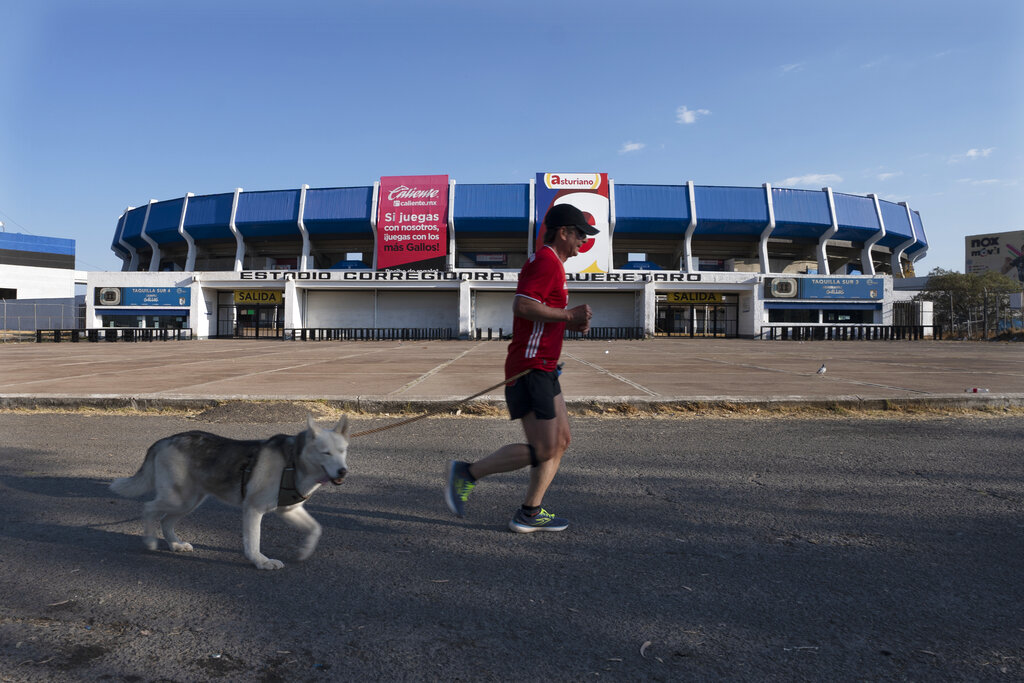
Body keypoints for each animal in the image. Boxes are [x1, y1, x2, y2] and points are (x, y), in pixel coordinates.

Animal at [110, 417, 352, 573]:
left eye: (342, 451)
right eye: (326, 453)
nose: (343, 471)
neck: (293, 461)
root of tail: (164, 440)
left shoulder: (289, 511)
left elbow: (315, 529)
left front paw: (303, 551)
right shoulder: (253, 510)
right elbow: (253, 542)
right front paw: (260, 562)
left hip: (188, 502)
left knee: (165, 520)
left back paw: (175, 545)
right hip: (178, 499)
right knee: (149, 508)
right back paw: (150, 540)